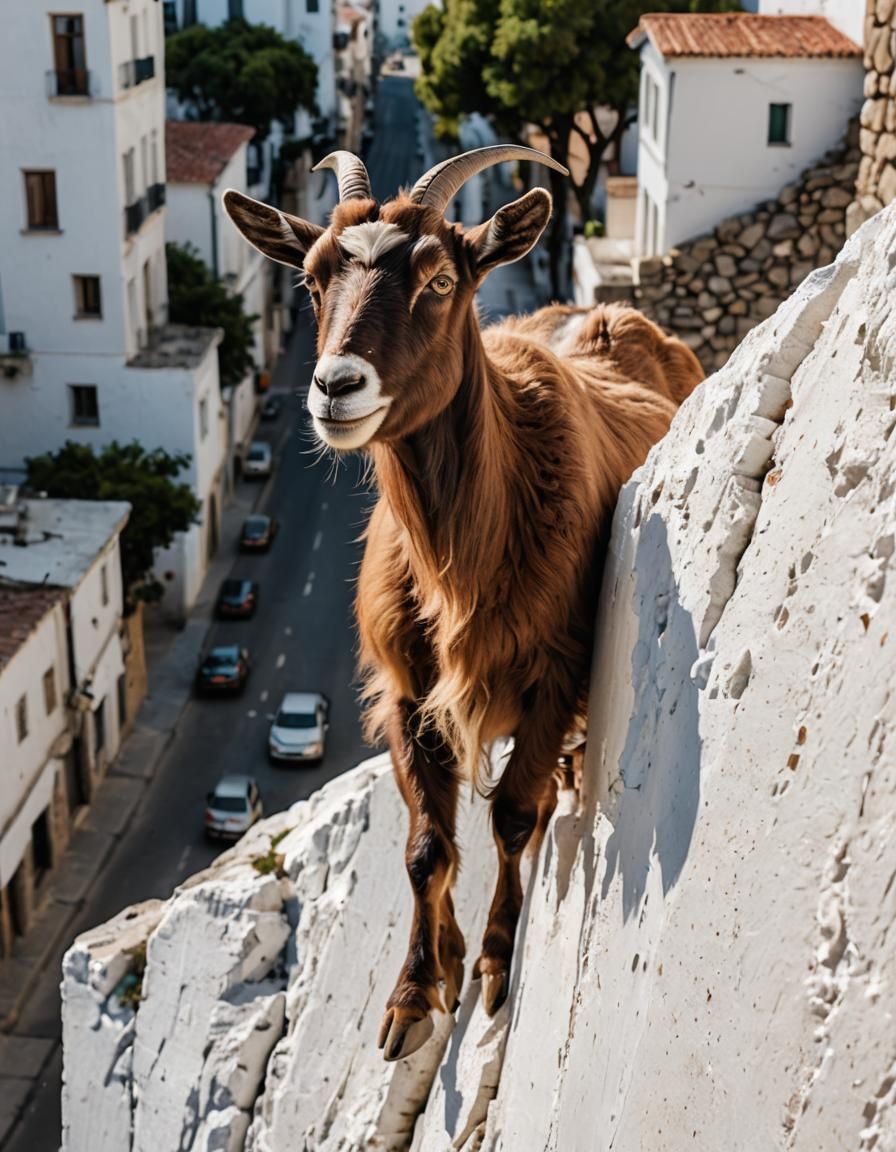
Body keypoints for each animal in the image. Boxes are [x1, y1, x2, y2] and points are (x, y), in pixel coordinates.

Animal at [223, 148, 703, 1062]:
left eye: (441, 278)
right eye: (312, 277)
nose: (336, 387)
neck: (460, 565)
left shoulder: (556, 675)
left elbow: (512, 817)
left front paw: (490, 960)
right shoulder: (410, 691)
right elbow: (425, 847)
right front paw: (420, 985)